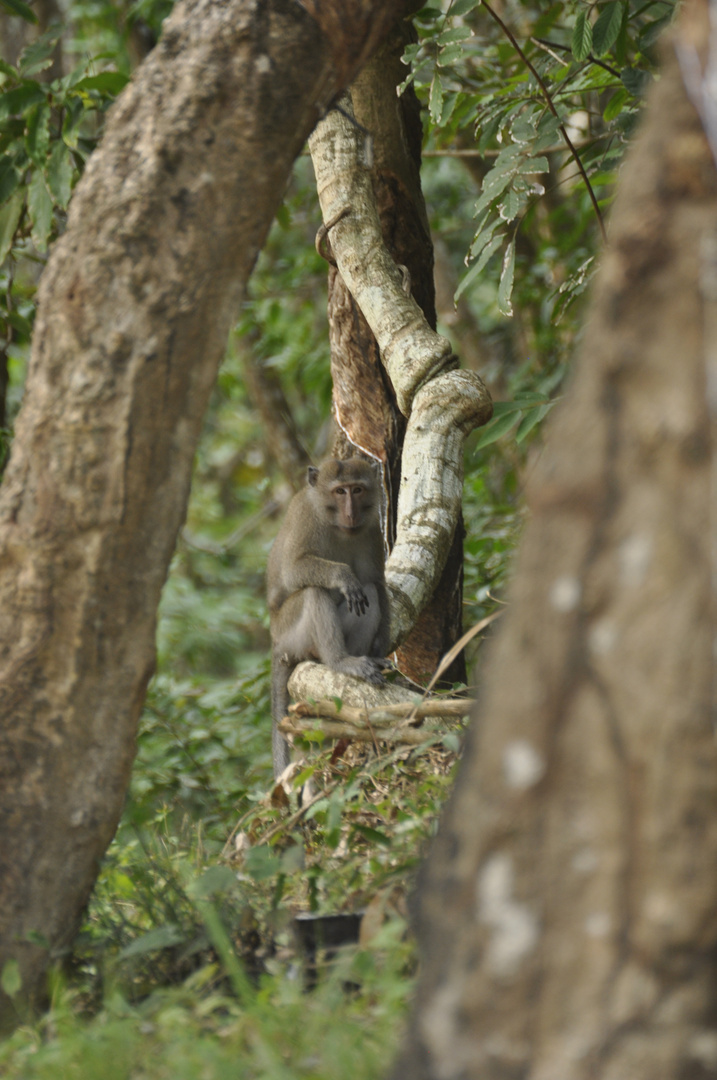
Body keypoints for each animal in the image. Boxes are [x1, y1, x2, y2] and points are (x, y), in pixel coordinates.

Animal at [268, 455, 393, 777]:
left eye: (357, 489)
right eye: (339, 492)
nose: (351, 512)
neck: (338, 526)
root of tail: (276, 644)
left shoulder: (371, 528)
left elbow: (377, 583)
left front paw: (380, 653)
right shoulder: (304, 517)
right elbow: (294, 571)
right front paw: (342, 576)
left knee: (368, 592)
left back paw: (359, 659)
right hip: (291, 632)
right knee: (315, 591)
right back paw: (339, 661)